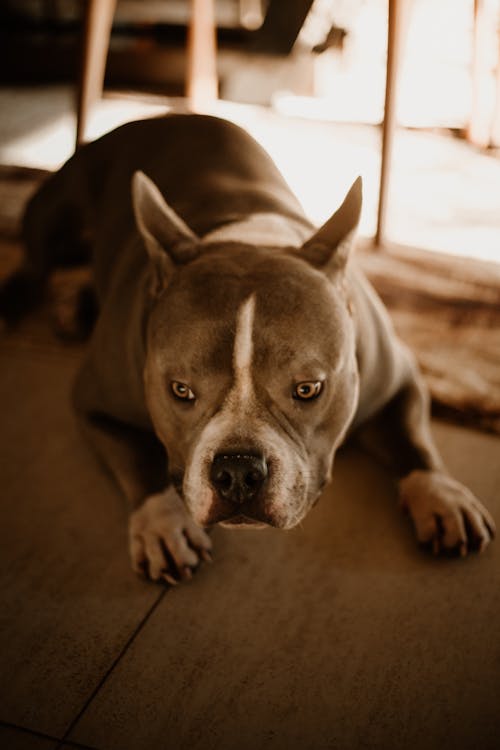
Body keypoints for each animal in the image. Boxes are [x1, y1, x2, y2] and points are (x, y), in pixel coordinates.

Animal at [2, 114, 496, 584]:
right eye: (180, 391)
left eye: (308, 390)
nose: (238, 471)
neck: (251, 239)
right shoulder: (95, 405)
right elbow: (140, 465)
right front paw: (163, 523)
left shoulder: (398, 382)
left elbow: (414, 442)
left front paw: (443, 497)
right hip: (56, 215)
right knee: (36, 263)